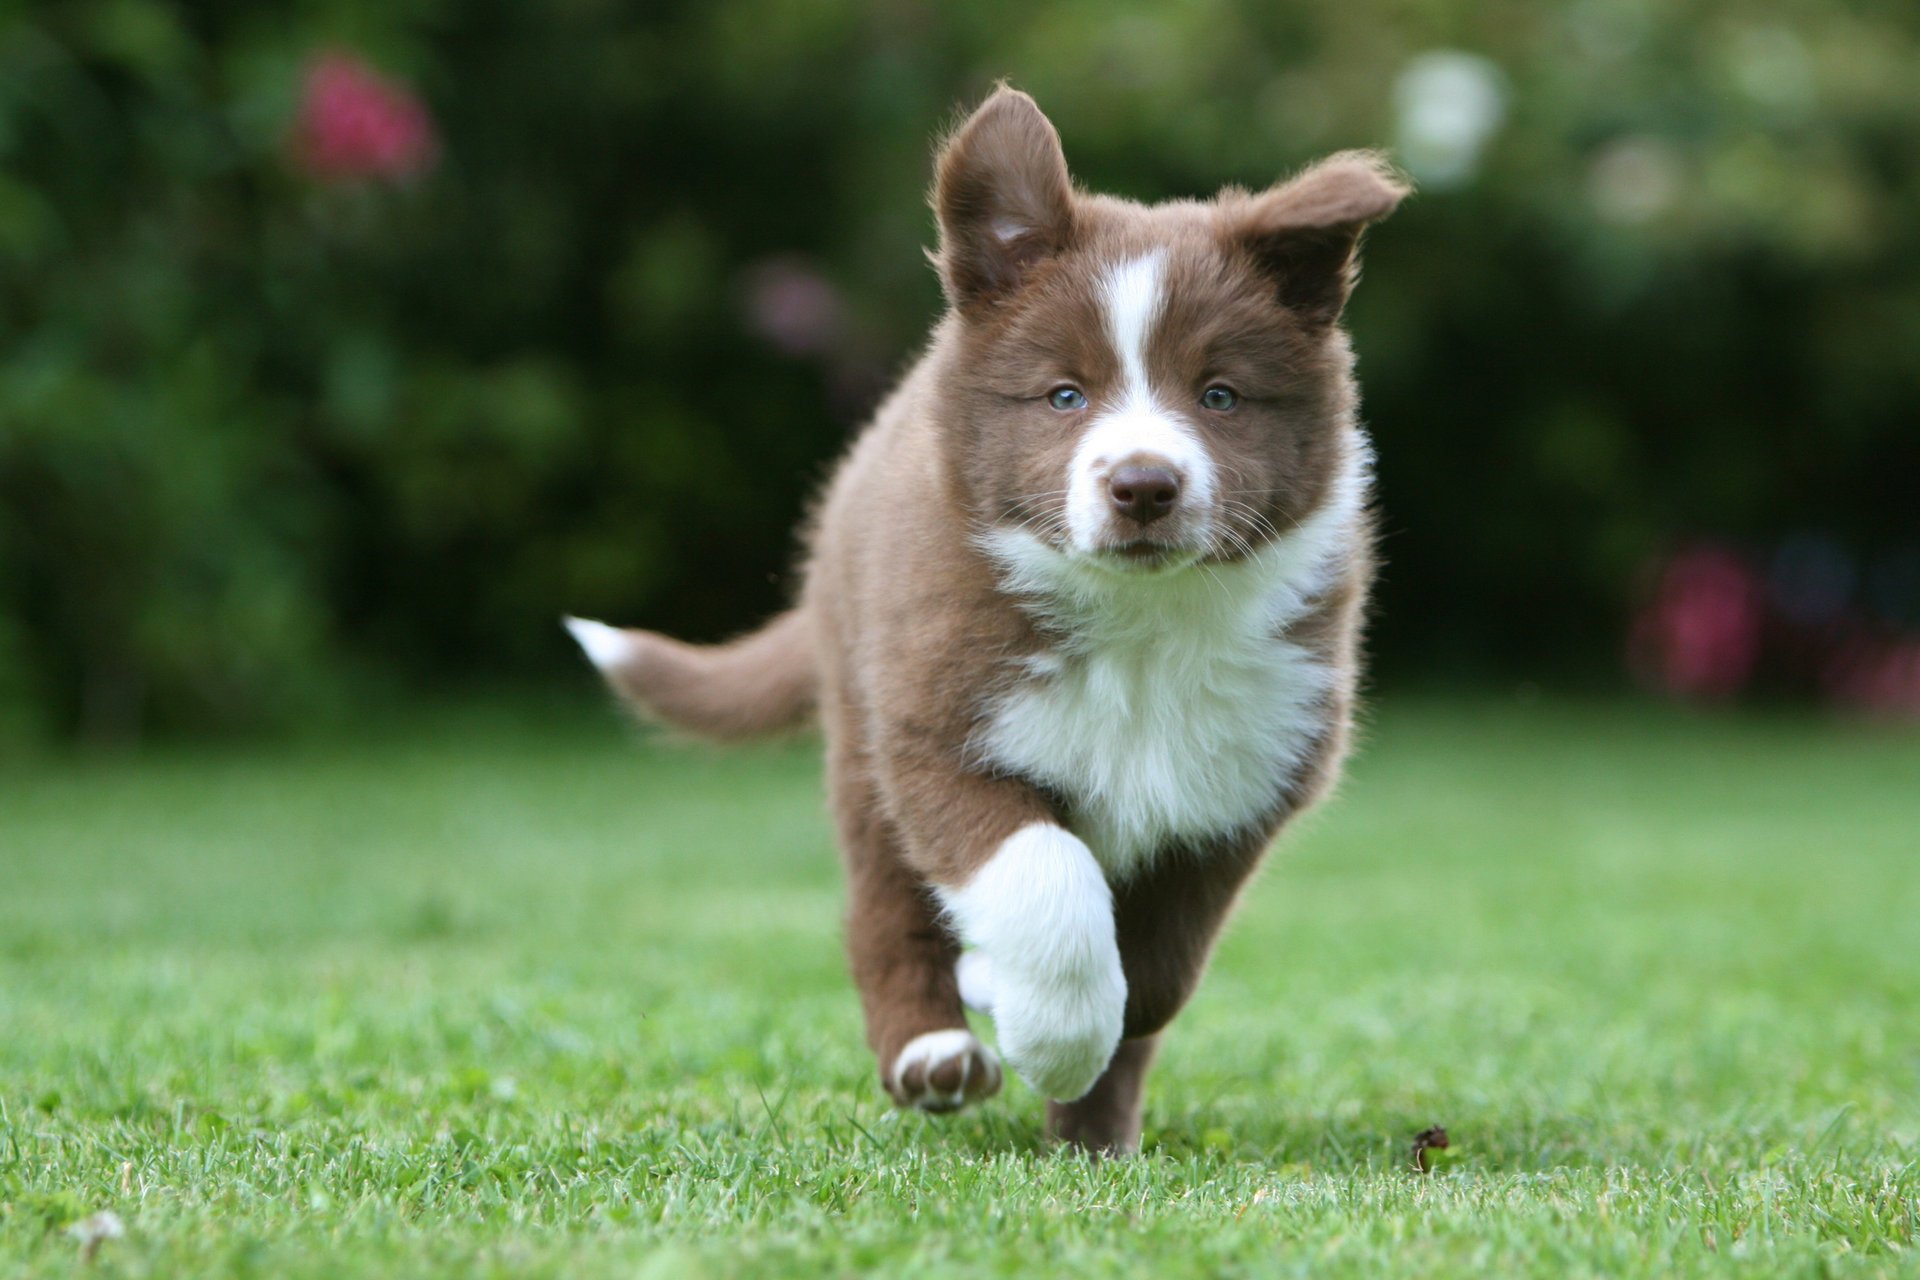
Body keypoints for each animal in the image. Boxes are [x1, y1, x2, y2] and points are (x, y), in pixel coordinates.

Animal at [560, 84, 1405, 1159]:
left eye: (1220, 395)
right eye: (1064, 395)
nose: (1143, 486)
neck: (1139, 623)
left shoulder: (1247, 777)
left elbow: (1157, 969)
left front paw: (1067, 1042)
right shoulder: (937, 726)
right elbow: (1045, 878)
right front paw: (1050, 1028)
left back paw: (1091, 1134)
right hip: (861, 731)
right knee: (884, 910)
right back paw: (934, 1051)